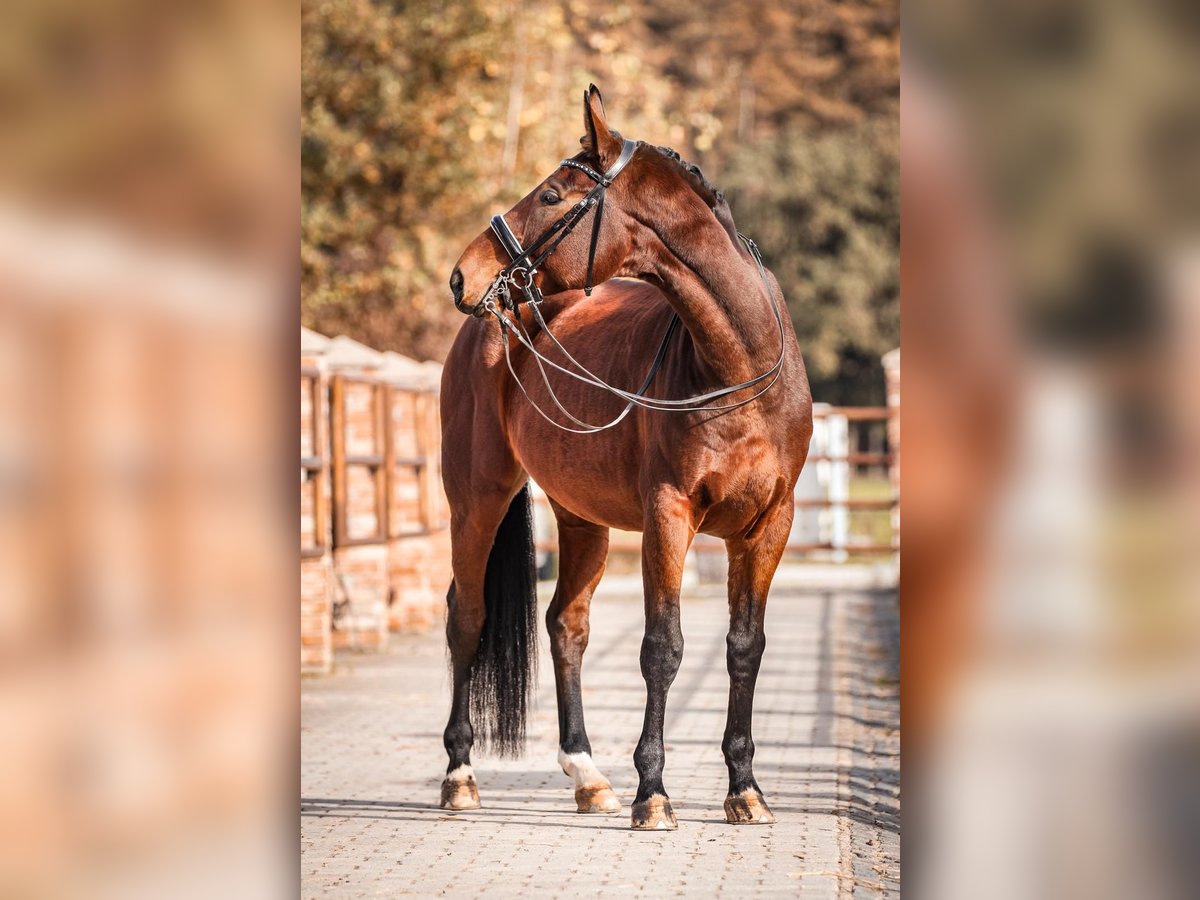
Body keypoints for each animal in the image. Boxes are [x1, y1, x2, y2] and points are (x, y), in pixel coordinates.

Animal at [436, 86, 811, 830]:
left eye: (552, 194)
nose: (465, 275)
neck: (739, 368)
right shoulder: (669, 516)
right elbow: (663, 648)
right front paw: (654, 793)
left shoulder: (768, 526)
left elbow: (745, 649)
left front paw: (744, 789)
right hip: (477, 500)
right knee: (467, 618)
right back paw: (460, 776)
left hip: (581, 518)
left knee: (566, 626)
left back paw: (588, 777)